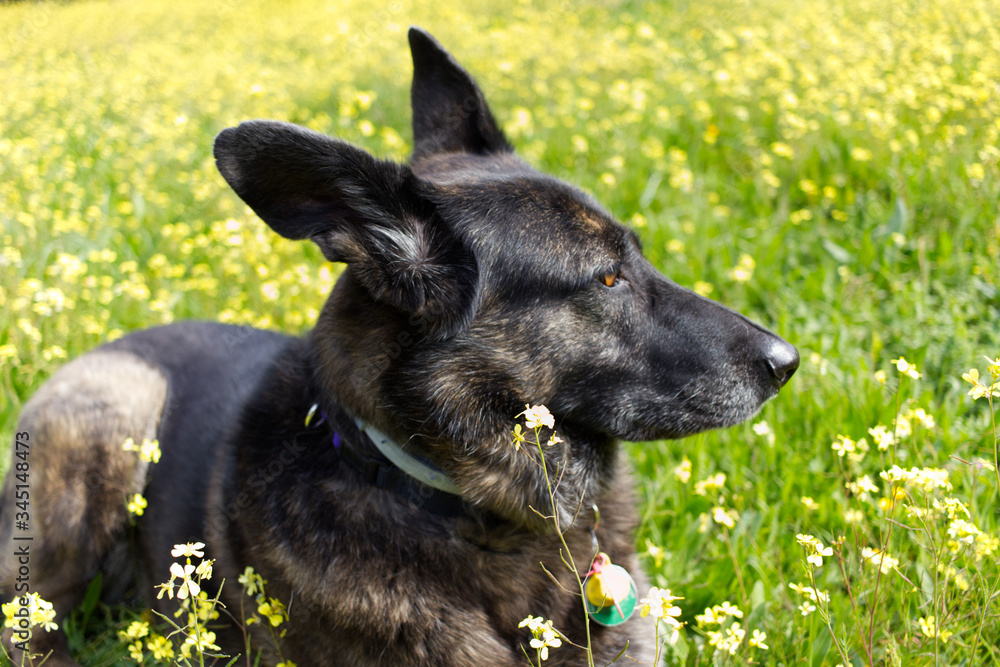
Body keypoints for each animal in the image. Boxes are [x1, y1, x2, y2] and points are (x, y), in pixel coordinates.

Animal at [0, 27, 796, 667]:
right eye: (605, 277)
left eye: (638, 258)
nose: (787, 363)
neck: (469, 507)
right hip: (113, 427)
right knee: (27, 618)